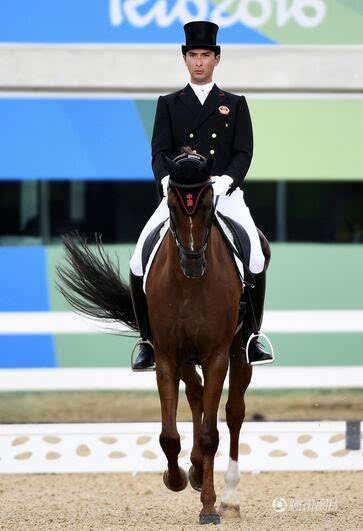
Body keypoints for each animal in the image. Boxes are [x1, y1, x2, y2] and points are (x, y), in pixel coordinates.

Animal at [58, 152, 260, 524]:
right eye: (172, 205)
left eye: (209, 203)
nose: (193, 263)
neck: (191, 284)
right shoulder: (167, 356)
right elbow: (169, 435)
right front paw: (176, 478)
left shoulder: (216, 356)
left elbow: (210, 434)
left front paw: (209, 507)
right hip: (186, 358)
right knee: (196, 395)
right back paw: (195, 472)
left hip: (239, 352)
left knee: (234, 412)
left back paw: (229, 499)